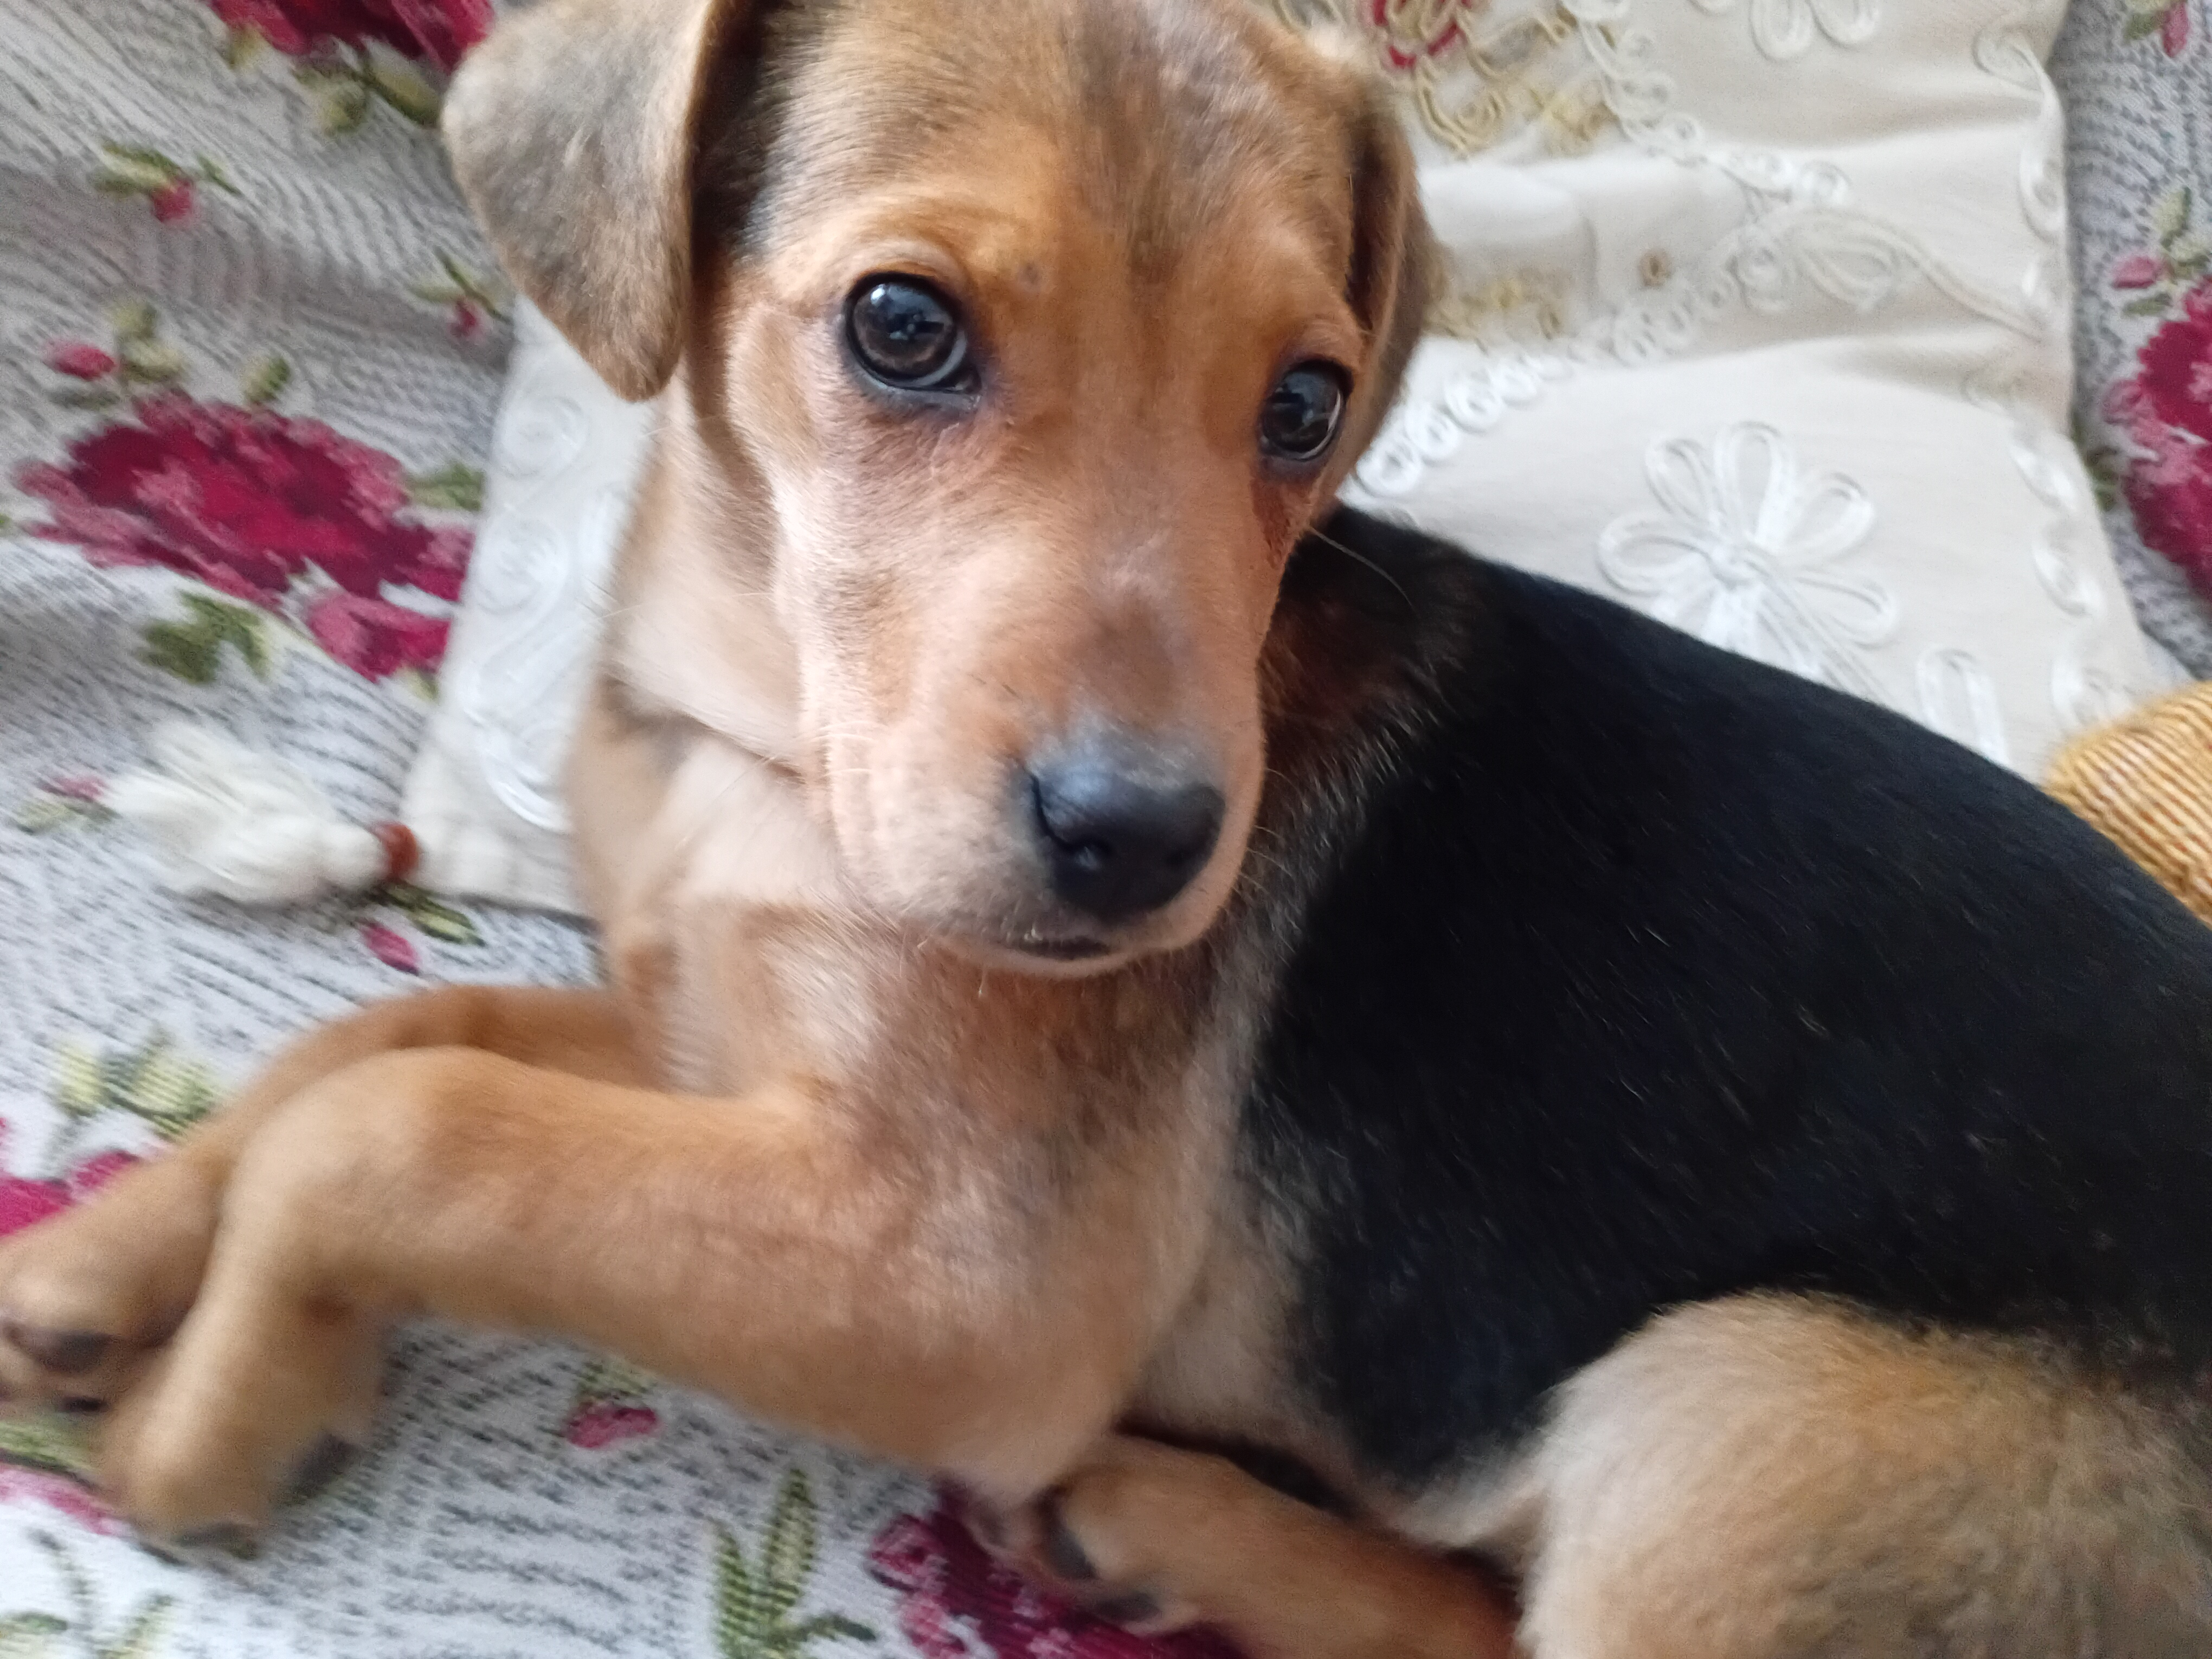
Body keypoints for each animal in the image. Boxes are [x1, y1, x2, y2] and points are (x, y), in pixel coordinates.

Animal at [4, 0, 2212, 1653]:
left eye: (1305, 405)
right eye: (900, 327)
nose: (1143, 851)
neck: (768, 750)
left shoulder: (953, 1275)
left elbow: (410, 1128)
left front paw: (223, 1409)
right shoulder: (716, 1048)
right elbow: (387, 1037)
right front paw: (107, 1258)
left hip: (1737, 1418)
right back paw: (1156, 1527)